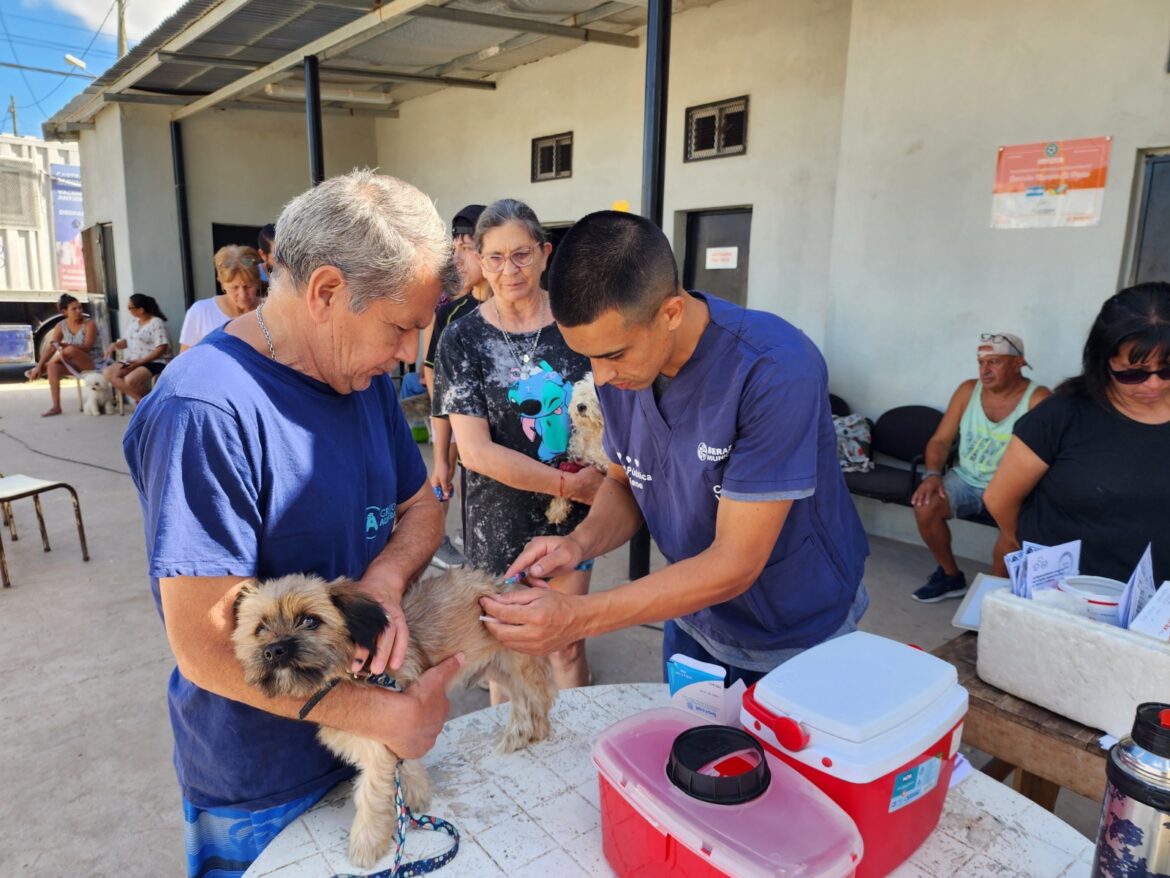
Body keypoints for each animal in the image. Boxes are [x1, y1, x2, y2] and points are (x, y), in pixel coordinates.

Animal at [233, 571, 556, 875]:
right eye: (260, 628)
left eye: (310, 621)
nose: (274, 650)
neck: (353, 675)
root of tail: (505, 585)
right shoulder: (397, 729)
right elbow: (403, 766)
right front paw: (415, 794)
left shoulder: (378, 750)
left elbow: (370, 795)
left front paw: (367, 844)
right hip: (499, 669)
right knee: (524, 699)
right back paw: (520, 731)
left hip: (518, 663)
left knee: (539, 698)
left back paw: (528, 731)